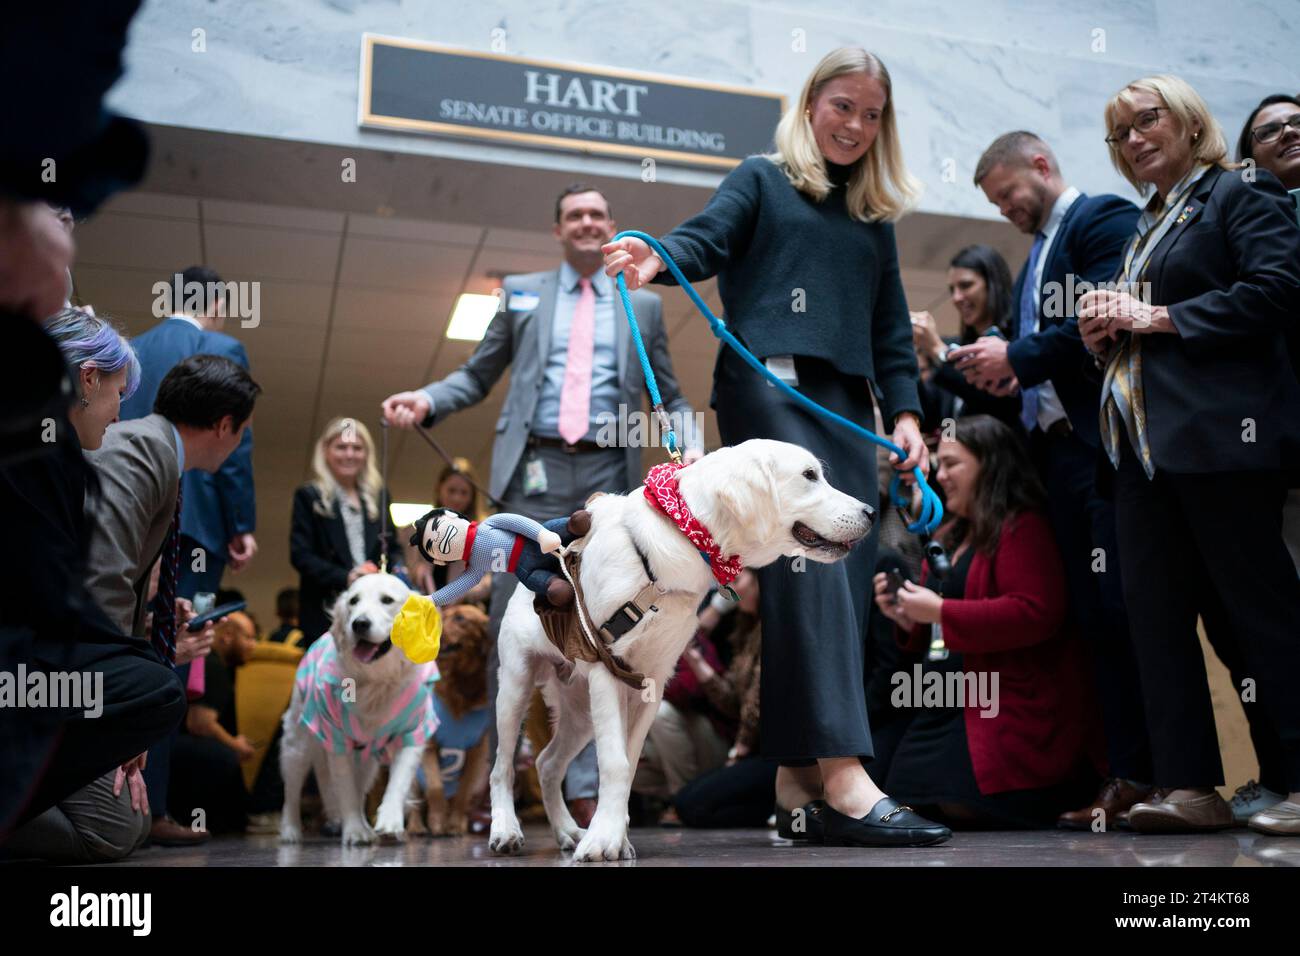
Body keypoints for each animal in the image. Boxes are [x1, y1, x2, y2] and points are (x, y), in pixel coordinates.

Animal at [280, 572, 431, 842]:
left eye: (387, 600)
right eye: (353, 601)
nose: (359, 623)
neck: (378, 681)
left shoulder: (413, 734)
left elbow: (398, 781)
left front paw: (389, 821)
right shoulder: (336, 740)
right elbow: (346, 791)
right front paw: (355, 831)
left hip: (366, 759)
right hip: (297, 744)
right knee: (292, 791)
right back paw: (290, 830)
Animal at [488, 437, 873, 863]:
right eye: (809, 475)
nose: (871, 513)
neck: (680, 541)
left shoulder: (649, 682)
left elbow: (628, 763)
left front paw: (611, 834)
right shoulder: (607, 671)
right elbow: (615, 762)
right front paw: (603, 839)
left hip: (580, 711)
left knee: (546, 764)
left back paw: (568, 830)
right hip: (516, 686)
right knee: (502, 766)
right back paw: (506, 829)